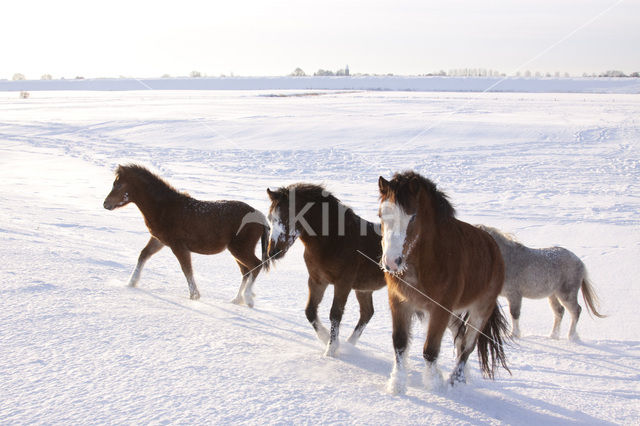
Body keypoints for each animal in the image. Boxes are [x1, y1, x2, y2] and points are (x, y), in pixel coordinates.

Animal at [102, 164, 270, 306]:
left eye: (118, 184)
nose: (105, 204)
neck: (164, 207)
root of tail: (259, 215)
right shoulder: (159, 241)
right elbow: (143, 255)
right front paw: (131, 283)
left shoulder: (178, 246)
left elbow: (186, 269)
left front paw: (194, 296)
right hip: (237, 250)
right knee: (246, 271)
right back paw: (237, 299)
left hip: (240, 249)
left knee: (255, 266)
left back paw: (248, 299)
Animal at [264, 183, 384, 356]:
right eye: (270, 218)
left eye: (287, 217)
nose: (272, 252)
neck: (334, 240)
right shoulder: (317, 280)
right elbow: (310, 311)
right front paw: (326, 338)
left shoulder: (343, 283)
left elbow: (335, 314)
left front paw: (331, 350)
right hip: (364, 289)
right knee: (367, 313)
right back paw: (350, 345)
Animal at [376, 171, 510, 394]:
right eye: (381, 215)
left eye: (412, 216)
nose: (391, 262)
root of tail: (494, 249)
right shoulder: (399, 302)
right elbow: (400, 344)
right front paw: (397, 385)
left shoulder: (439, 309)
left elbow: (430, 350)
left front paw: (434, 385)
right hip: (454, 314)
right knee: (460, 338)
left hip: (480, 310)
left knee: (467, 346)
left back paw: (456, 380)